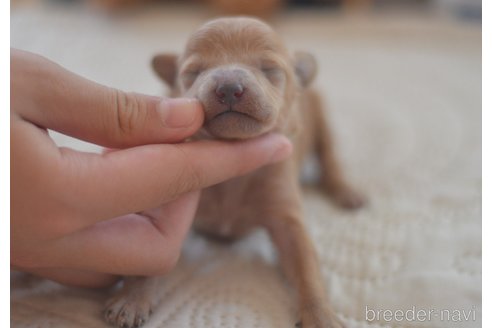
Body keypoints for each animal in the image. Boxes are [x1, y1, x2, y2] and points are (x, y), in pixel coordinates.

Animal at [104, 17, 366, 328]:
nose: (229, 88)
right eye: (193, 72)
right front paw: (132, 298)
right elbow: (150, 258)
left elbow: (307, 268)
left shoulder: (288, 219)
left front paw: (320, 315)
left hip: (321, 113)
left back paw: (347, 190)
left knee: (329, 157)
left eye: (270, 69)